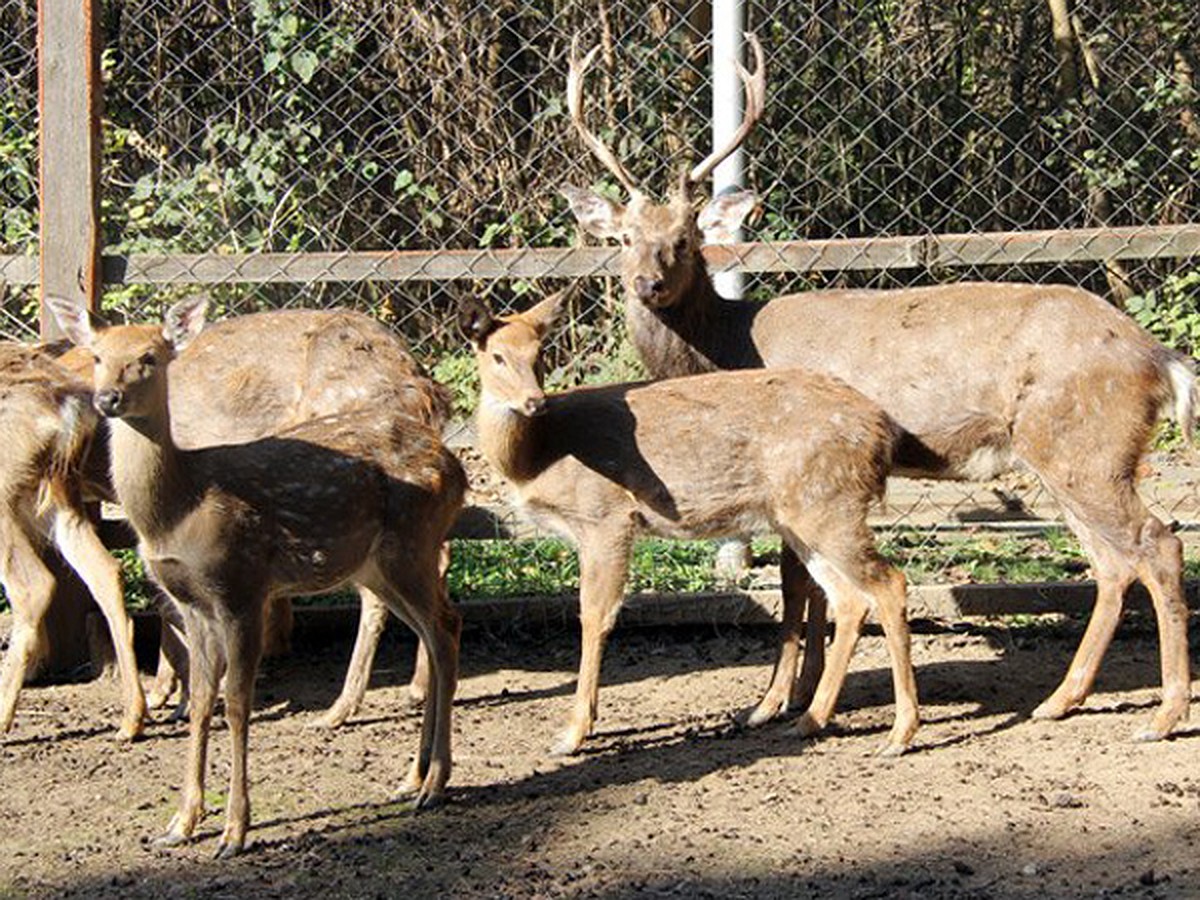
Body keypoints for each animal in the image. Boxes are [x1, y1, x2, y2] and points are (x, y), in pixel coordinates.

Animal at [46, 296, 460, 859]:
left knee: (444, 630)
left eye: (150, 357)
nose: (108, 398)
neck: (177, 509)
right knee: (437, 624)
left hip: (407, 550)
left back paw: (430, 779)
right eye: (97, 356)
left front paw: (234, 832)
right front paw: (181, 822)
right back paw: (411, 776)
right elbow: (203, 702)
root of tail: (457, 467)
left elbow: (237, 704)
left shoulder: (241, 587)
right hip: (378, 565)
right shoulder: (196, 605)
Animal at [458, 290, 916, 763]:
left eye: (539, 354)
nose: (534, 402)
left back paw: (898, 734)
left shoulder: (606, 516)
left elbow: (594, 615)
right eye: (496, 355)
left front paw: (572, 734)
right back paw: (807, 721)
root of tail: (882, 434)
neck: (536, 457)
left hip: (829, 505)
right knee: (848, 598)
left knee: (889, 584)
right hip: (803, 516)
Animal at [559, 31, 1190, 744]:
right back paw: (1061, 699)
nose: (648, 284)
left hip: (1088, 443)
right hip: (1070, 455)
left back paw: (1164, 713)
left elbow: (798, 585)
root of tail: (1159, 358)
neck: (729, 346)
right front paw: (795, 696)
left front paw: (774, 702)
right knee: (1112, 561)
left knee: (1158, 542)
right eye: (623, 238)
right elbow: (807, 583)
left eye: (688, 238)